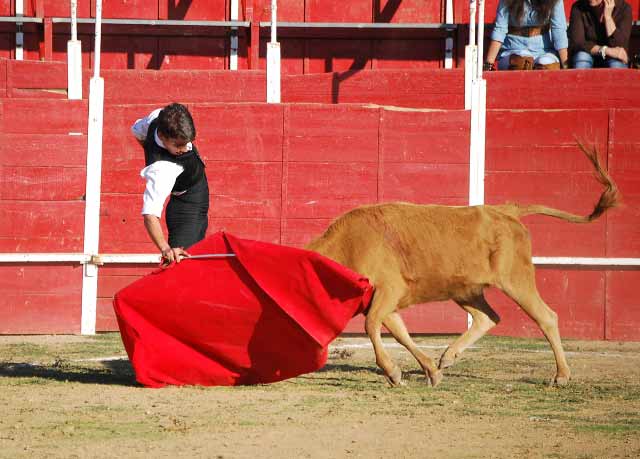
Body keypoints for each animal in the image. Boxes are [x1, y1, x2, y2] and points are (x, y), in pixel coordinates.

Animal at [308, 144, 616, 388]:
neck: (348, 244)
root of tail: (504, 210)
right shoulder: (385, 299)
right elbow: (399, 332)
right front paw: (429, 371)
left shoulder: (389, 290)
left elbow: (373, 325)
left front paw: (394, 373)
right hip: (466, 289)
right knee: (487, 318)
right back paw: (447, 357)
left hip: (516, 280)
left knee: (546, 316)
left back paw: (561, 376)